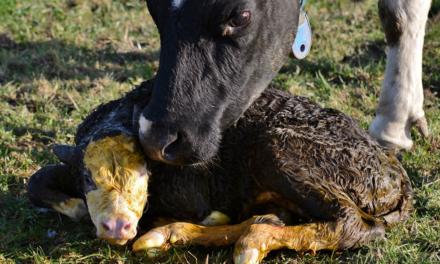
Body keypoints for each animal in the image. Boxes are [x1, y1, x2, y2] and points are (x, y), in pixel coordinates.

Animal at [27, 81, 412, 262]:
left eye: (143, 175)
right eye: (88, 178)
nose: (117, 226)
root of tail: (391, 167)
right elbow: (37, 178)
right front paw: (77, 206)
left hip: (282, 149)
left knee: (352, 225)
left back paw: (247, 245)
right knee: (273, 218)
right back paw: (171, 235)